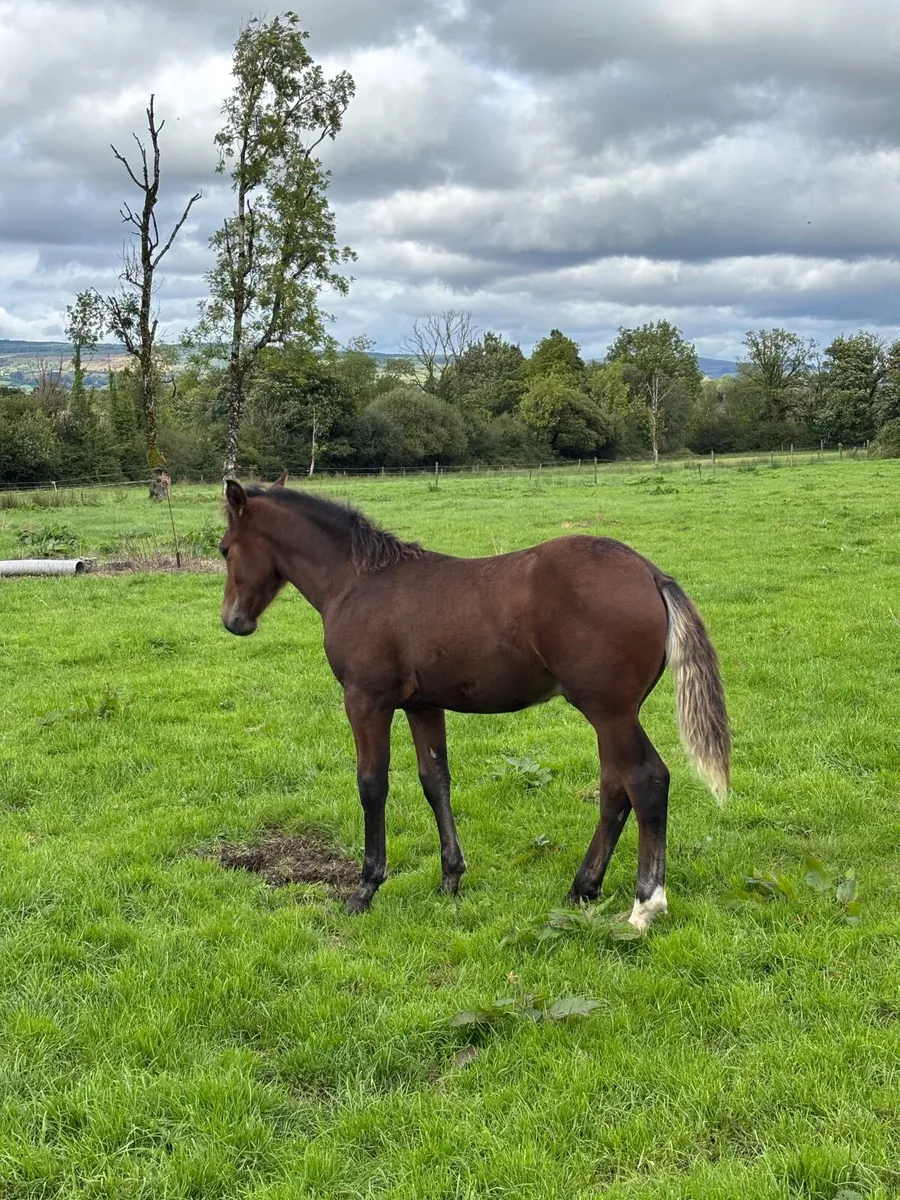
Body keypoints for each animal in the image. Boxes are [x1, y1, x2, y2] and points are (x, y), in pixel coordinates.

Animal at [219, 474, 730, 932]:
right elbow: (435, 781)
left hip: (610, 712)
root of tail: (650, 573)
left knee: (646, 780)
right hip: (613, 715)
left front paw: (365, 888)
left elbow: (372, 785)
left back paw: (645, 906)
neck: (358, 582)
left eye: (224, 549)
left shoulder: (366, 700)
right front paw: (450, 879)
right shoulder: (423, 705)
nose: (233, 621)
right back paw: (582, 887)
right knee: (614, 788)